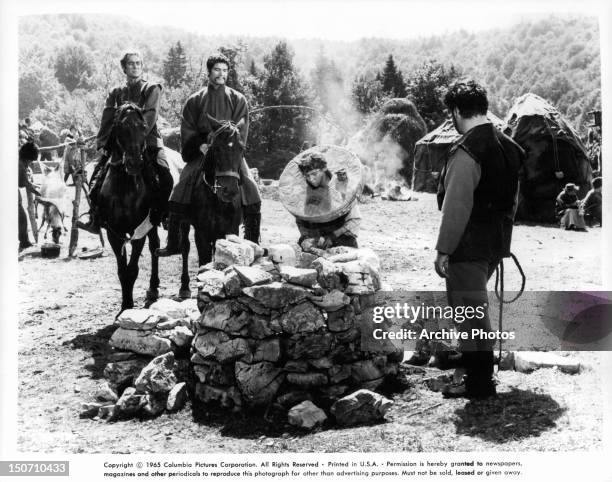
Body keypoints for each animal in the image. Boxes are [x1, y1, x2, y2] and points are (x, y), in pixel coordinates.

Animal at [97, 102, 165, 312]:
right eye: (120, 127)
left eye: (143, 127)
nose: (135, 162)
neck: (125, 188)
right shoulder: (114, 233)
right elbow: (122, 270)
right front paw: (125, 303)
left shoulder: (139, 231)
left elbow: (132, 269)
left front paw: (128, 306)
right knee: (154, 247)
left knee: (155, 248)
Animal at [173, 115, 243, 300]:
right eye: (216, 149)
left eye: (242, 149)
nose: (229, 190)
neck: (216, 200)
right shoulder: (202, 234)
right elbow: (204, 262)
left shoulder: (230, 231)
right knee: (185, 248)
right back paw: (184, 287)